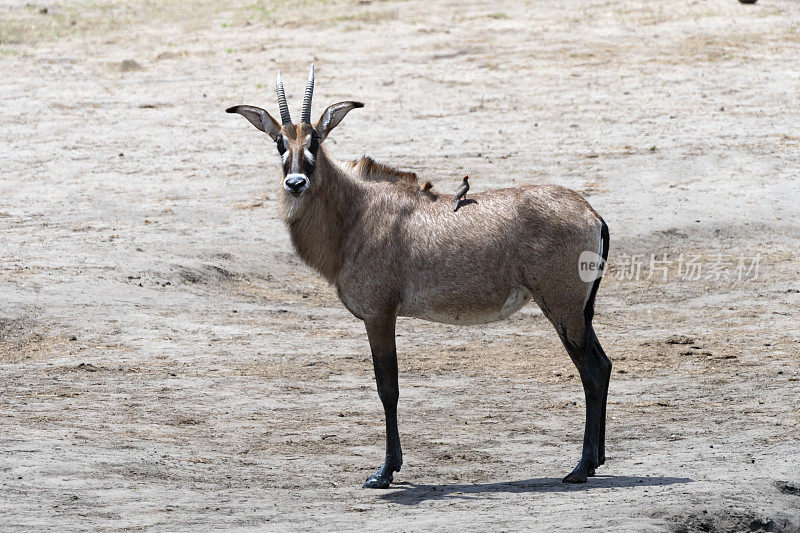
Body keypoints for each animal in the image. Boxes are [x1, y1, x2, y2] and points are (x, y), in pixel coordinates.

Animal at [225, 64, 612, 488]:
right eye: (280, 142)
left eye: (316, 140)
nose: (295, 183)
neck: (356, 213)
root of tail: (591, 213)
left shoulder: (379, 314)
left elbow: (388, 388)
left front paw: (385, 472)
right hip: (576, 311)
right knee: (603, 365)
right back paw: (596, 460)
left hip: (562, 307)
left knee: (592, 370)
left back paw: (581, 467)